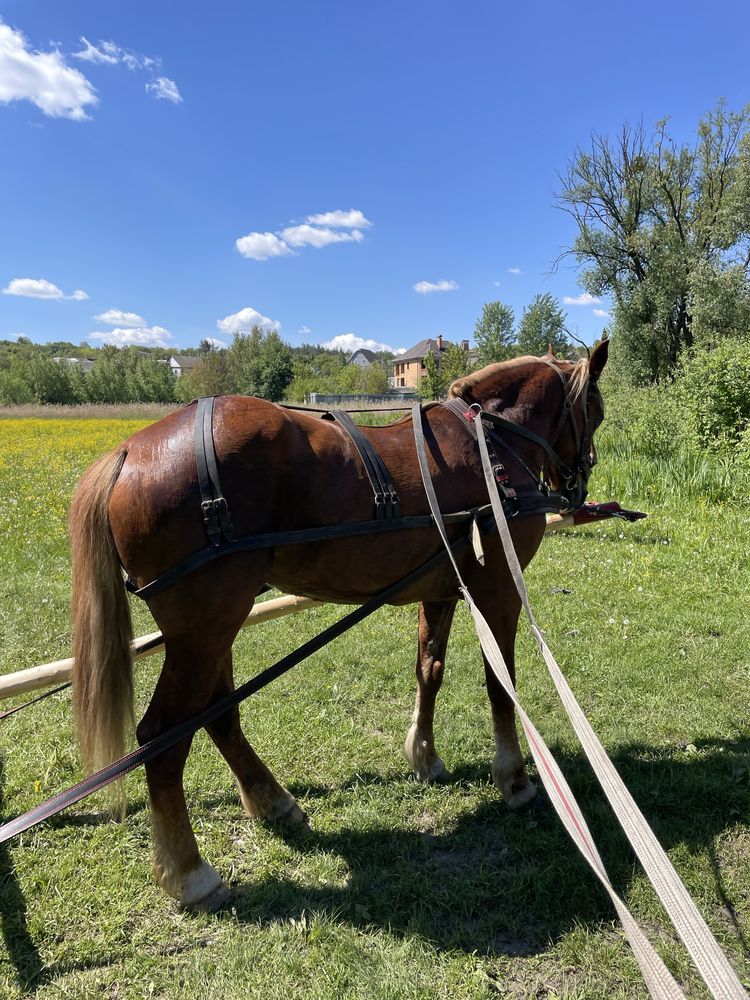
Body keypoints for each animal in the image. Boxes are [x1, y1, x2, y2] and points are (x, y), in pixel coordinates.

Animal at [69, 342, 612, 908]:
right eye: (593, 412)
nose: (580, 481)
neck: (490, 443)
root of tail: (128, 452)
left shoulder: (443, 590)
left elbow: (430, 670)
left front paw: (424, 757)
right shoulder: (498, 590)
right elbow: (500, 685)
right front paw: (515, 779)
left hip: (214, 628)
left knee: (219, 716)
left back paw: (271, 801)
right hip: (202, 631)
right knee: (163, 737)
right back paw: (190, 871)